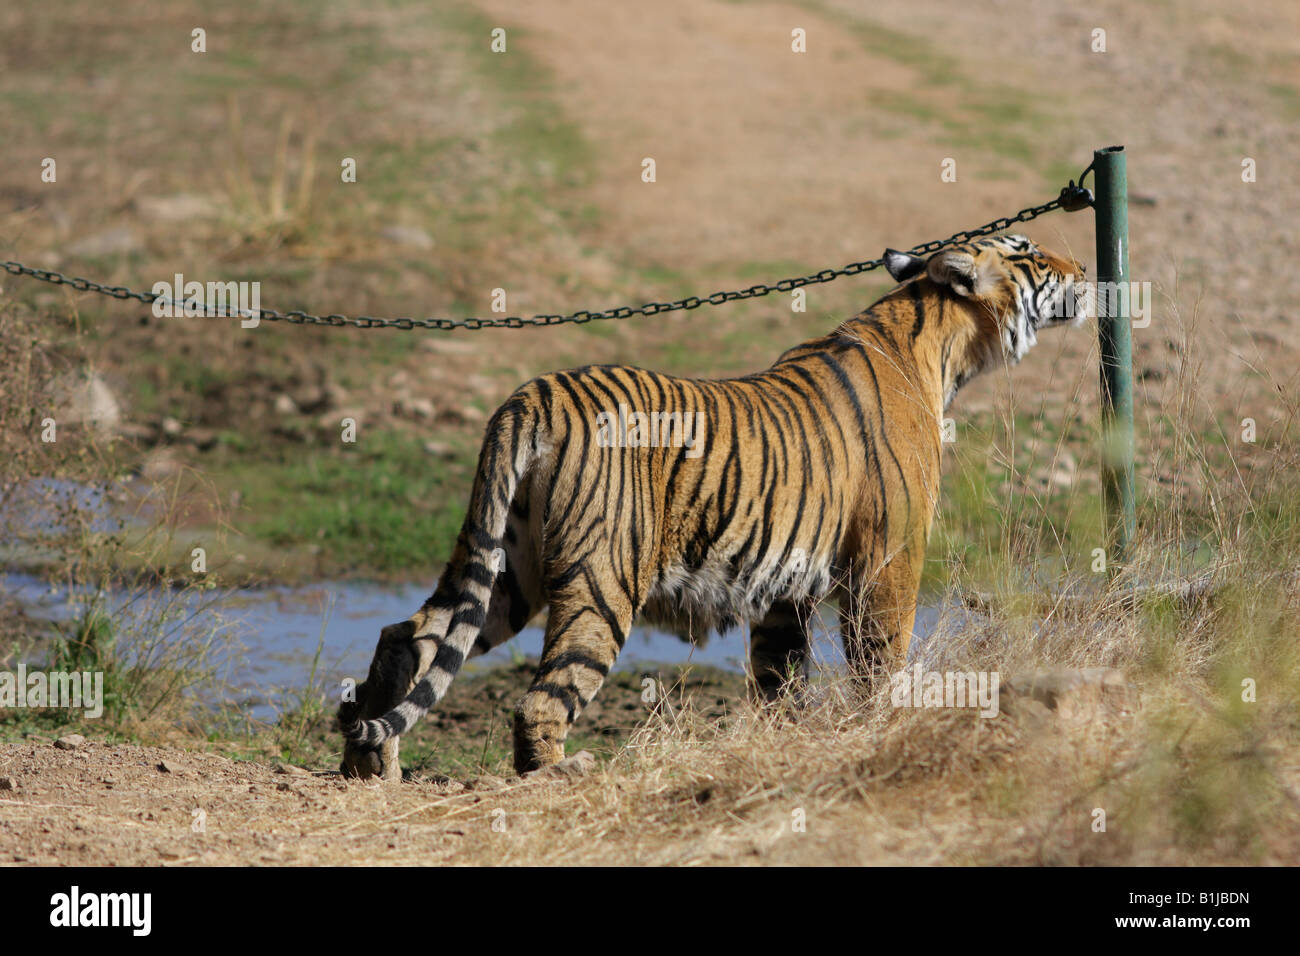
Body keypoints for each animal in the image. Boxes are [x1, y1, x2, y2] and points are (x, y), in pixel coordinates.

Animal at [338, 235, 1086, 780]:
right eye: (1030, 253)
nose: (1083, 268)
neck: (939, 344)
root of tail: (534, 394)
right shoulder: (888, 562)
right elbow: (881, 663)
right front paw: (882, 730)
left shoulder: (787, 590)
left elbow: (780, 685)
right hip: (604, 578)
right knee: (538, 698)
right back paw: (555, 775)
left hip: (507, 567)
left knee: (408, 635)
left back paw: (369, 765)